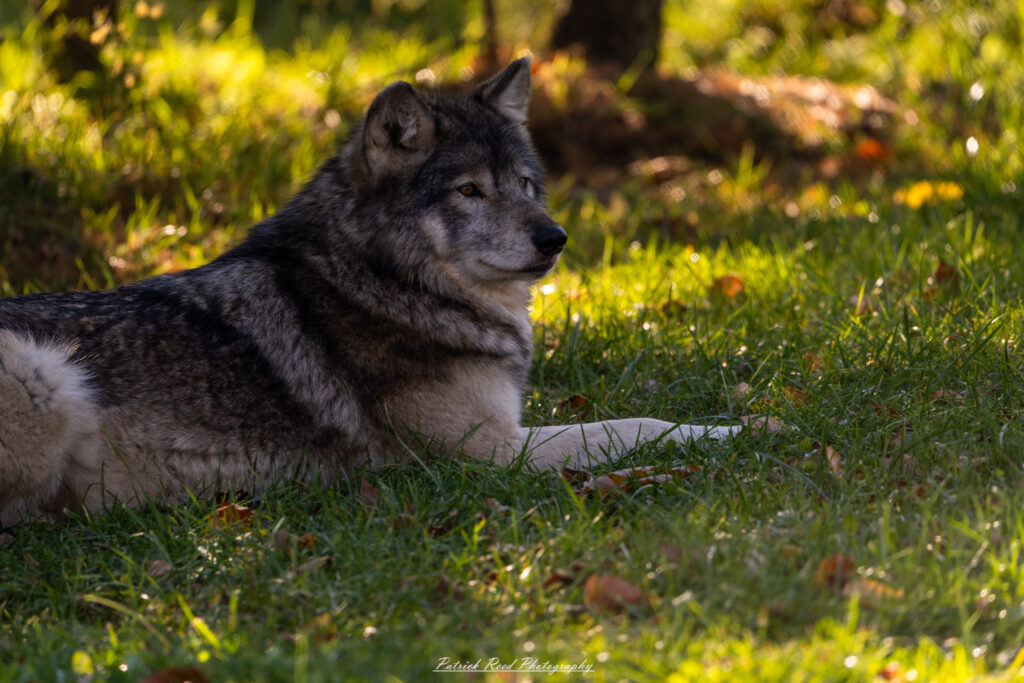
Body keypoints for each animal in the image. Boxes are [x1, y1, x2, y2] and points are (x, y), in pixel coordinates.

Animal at [0, 58, 739, 525]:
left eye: (525, 183)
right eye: (469, 190)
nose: (553, 238)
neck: (384, 282)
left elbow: (627, 416)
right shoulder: (491, 453)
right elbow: (635, 425)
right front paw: (738, 428)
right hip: (47, 376)